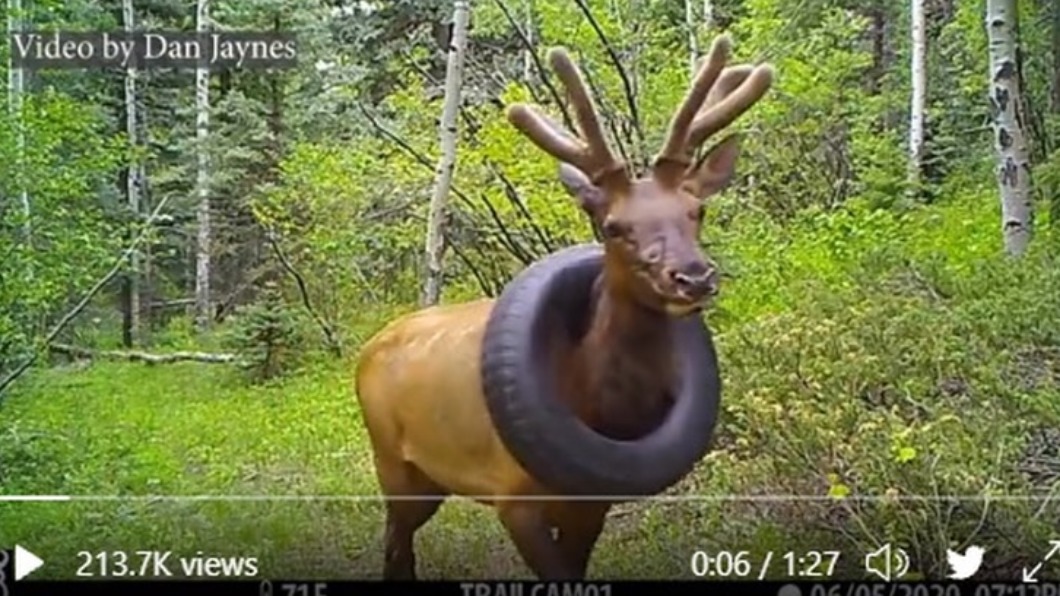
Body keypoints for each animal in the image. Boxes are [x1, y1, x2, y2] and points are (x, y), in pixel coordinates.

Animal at [355, 34, 774, 580]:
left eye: (696, 210)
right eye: (613, 225)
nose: (693, 277)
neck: (591, 399)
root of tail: (368, 348)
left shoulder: (590, 504)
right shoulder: (513, 495)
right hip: (394, 462)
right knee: (396, 542)